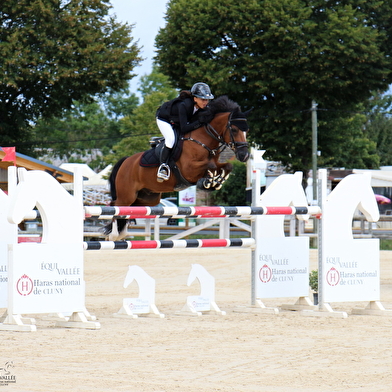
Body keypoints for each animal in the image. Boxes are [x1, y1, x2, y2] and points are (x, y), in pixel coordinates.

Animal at [102, 95, 250, 242]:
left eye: (246, 131)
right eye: (234, 129)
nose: (245, 155)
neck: (203, 141)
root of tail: (126, 161)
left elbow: (227, 166)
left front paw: (216, 182)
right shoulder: (189, 170)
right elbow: (211, 166)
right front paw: (208, 181)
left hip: (148, 198)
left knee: (128, 210)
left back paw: (121, 233)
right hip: (127, 195)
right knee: (115, 205)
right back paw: (114, 234)